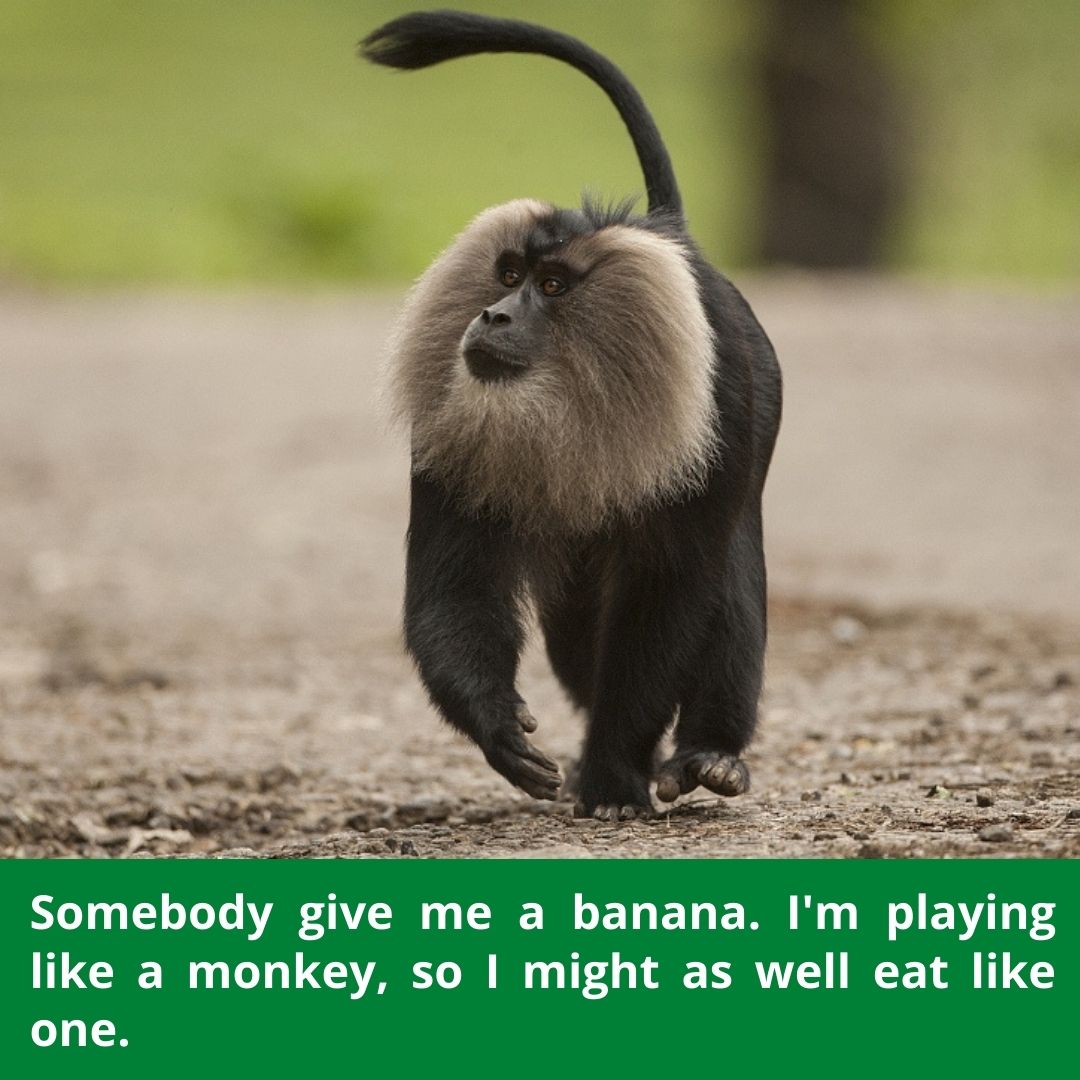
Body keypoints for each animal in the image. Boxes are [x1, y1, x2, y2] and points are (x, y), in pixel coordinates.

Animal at [361, 10, 782, 821]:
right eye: (508, 274)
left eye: (553, 286)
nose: (491, 315)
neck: (568, 401)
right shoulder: (449, 439)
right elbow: (454, 585)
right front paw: (502, 730)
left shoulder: (715, 429)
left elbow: (668, 600)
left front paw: (615, 776)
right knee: (579, 637)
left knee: (728, 589)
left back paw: (713, 756)